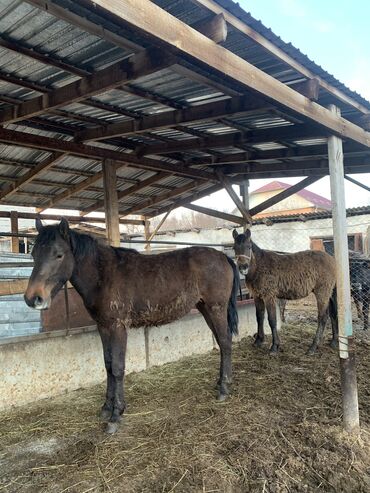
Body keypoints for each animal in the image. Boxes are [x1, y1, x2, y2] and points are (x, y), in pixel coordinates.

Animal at [25, 218, 240, 430]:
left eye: (59, 255)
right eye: (34, 254)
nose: (33, 298)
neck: (103, 275)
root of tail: (223, 256)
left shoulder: (118, 327)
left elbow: (118, 367)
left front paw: (116, 415)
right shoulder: (103, 327)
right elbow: (108, 365)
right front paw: (106, 408)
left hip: (216, 308)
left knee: (225, 342)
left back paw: (223, 388)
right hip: (205, 308)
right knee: (222, 343)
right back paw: (221, 382)